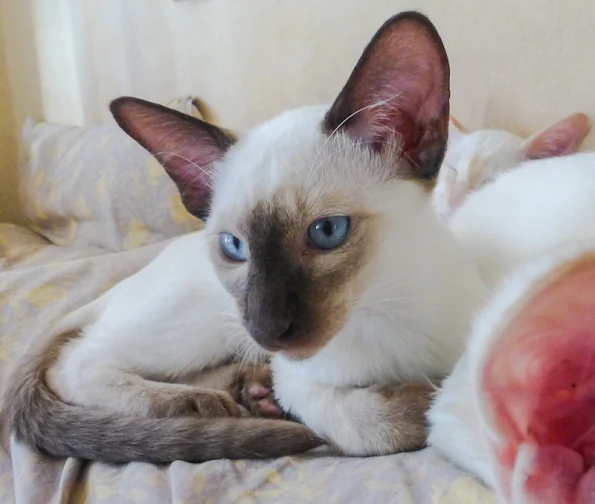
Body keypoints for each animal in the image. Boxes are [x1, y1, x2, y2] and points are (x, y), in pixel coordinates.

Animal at [3, 10, 488, 460]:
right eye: (233, 246)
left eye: (327, 232)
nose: (265, 329)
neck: (381, 310)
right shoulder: (297, 377)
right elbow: (372, 424)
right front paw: (423, 401)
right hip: (205, 326)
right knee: (74, 364)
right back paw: (204, 405)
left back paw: (252, 396)